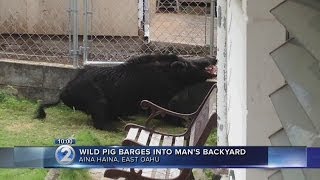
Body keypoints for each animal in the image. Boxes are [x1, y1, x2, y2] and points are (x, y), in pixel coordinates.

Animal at [35, 54, 216, 130]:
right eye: (188, 64)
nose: (213, 58)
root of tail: (63, 93)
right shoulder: (160, 99)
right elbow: (169, 111)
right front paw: (182, 123)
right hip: (98, 101)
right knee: (99, 122)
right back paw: (116, 127)